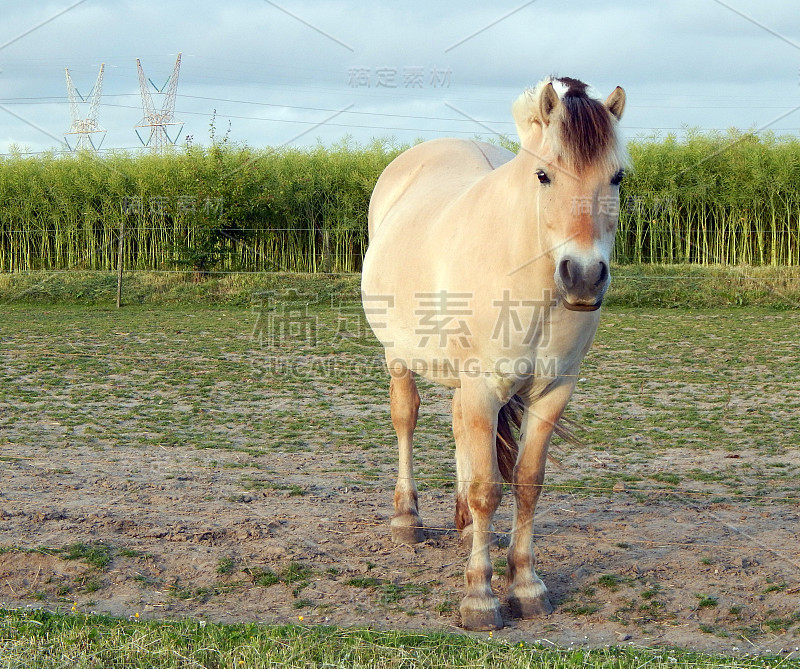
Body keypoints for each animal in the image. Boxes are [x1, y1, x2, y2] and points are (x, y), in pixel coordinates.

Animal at [360, 75, 628, 628]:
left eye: (616, 177)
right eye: (543, 175)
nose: (583, 276)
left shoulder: (551, 393)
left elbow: (526, 483)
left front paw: (525, 584)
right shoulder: (483, 386)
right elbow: (489, 489)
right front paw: (480, 596)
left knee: (460, 429)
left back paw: (463, 522)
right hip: (400, 358)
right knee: (406, 418)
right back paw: (407, 518)